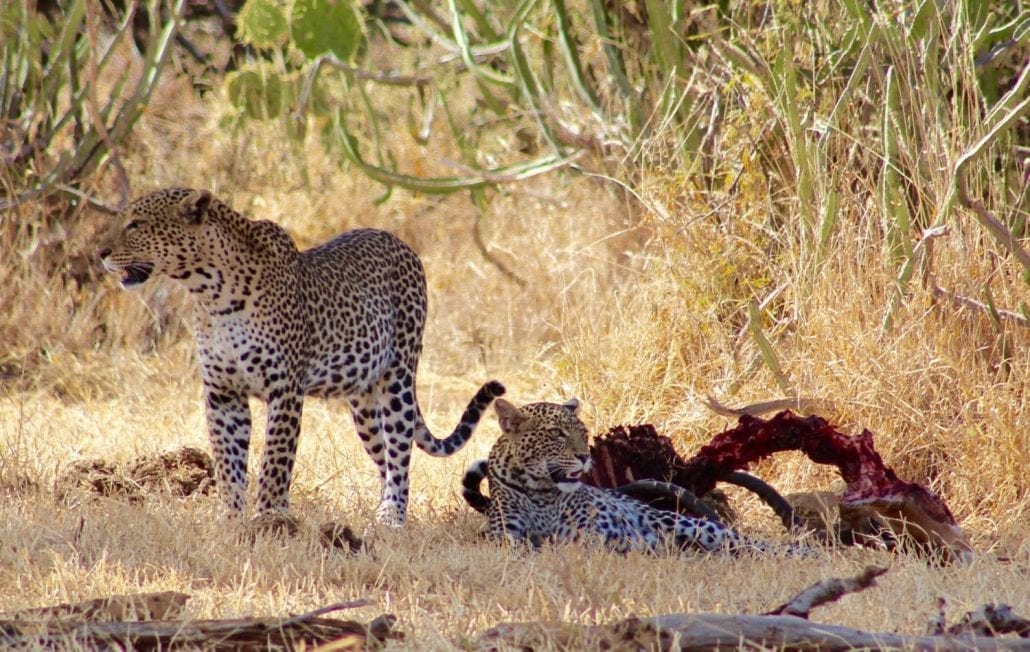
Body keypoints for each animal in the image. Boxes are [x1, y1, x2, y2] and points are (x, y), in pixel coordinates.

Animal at [99, 187, 505, 525]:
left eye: (136, 224)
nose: (101, 253)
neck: (210, 291)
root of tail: (394, 238)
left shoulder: (285, 390)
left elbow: (275, 462)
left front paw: (270, 520)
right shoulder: (223, 394)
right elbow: (228, 464)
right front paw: (230, 520)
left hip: (398, 380)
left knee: (400, 453)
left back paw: (392, 517)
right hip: (363, 405)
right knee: (383, 459)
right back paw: (378, 515)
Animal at [463, 398, 806, 555]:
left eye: (582, 433)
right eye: (556, 434)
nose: (584, 457)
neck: (540, 491)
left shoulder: (590, 533)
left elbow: (576, 542)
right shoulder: (506, 534)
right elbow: (520, 545)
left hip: (687, 524)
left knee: (746, 542)